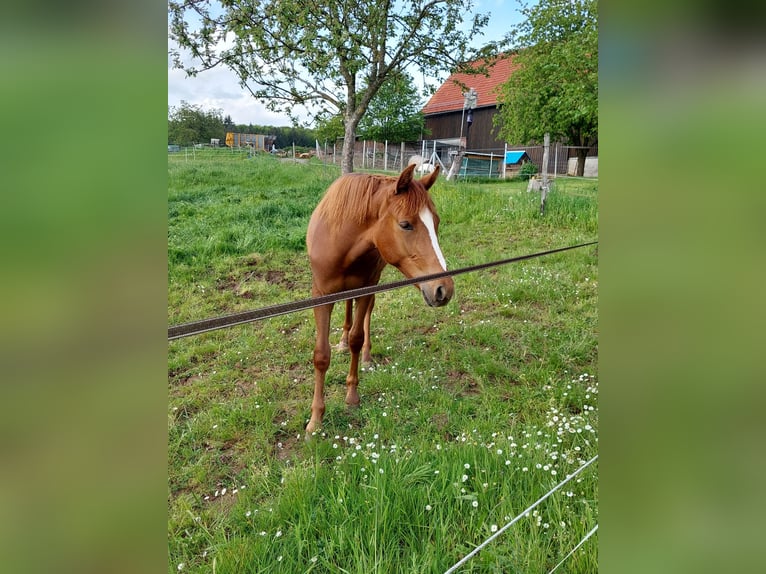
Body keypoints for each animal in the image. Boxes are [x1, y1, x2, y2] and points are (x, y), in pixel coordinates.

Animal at [304, 164, 452, 434]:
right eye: (405, 224)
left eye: (436, 222)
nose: (443, 289)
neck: (343, 242)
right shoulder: (321, 296)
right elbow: (321, 355)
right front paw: (316, 421)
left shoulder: (365, 289)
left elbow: (357, 338)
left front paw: (352, 397)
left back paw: (366, 357)